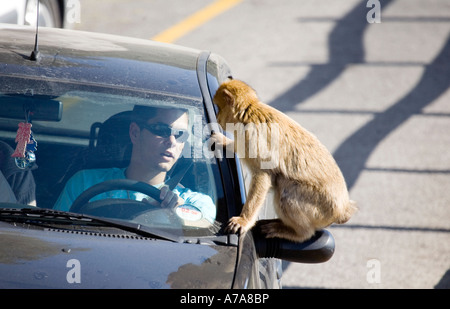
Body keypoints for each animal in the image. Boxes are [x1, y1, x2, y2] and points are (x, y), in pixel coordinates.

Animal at [213, 78, 356, 242]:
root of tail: (343, 210)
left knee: (284, 188)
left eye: (218, 108)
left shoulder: (253, 137)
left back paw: (298, 233)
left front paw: (244, 220)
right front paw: (225, 142)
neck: (248, 115)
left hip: (321, 208)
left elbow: (263, 176)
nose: (217, 117)